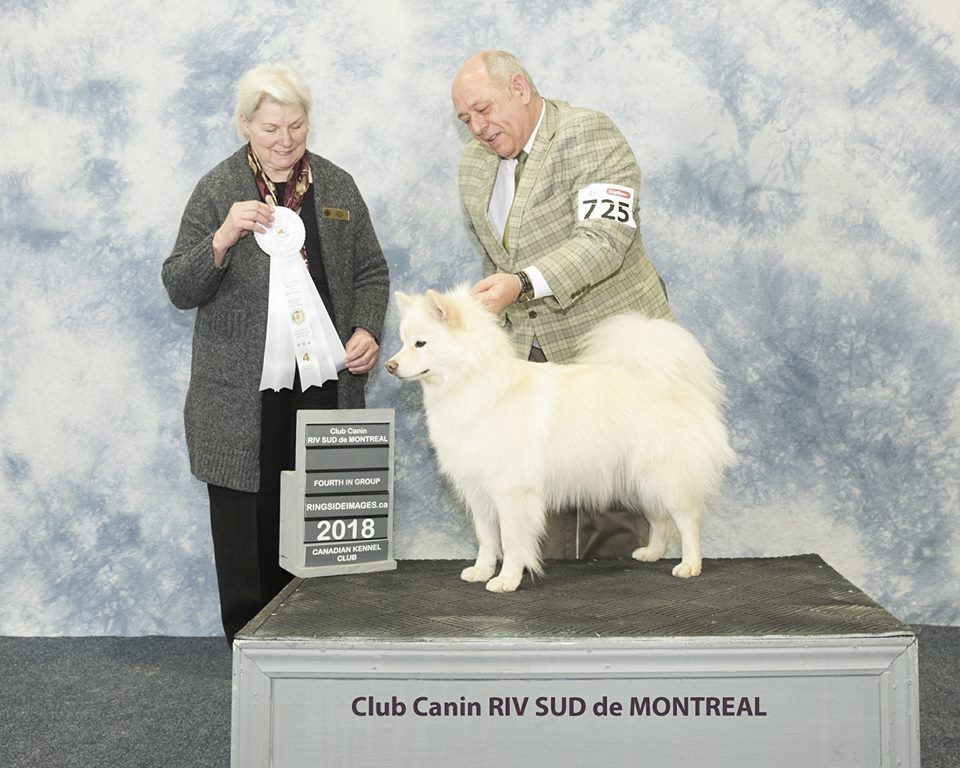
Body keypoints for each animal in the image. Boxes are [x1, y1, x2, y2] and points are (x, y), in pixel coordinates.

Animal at [384, 288, 736, 592]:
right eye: (402, 342)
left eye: (420, 343)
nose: (390, 365)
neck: (476, 386)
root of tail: (676, 382)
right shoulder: (477, 489)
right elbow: (486, 537)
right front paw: (482, 571)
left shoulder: (512, 491)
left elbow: (512, 541)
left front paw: (506, 579)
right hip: (640, 479)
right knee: (658, 518)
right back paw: (652, 553)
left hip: (665, 474)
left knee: (687, 520)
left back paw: (690, 565)